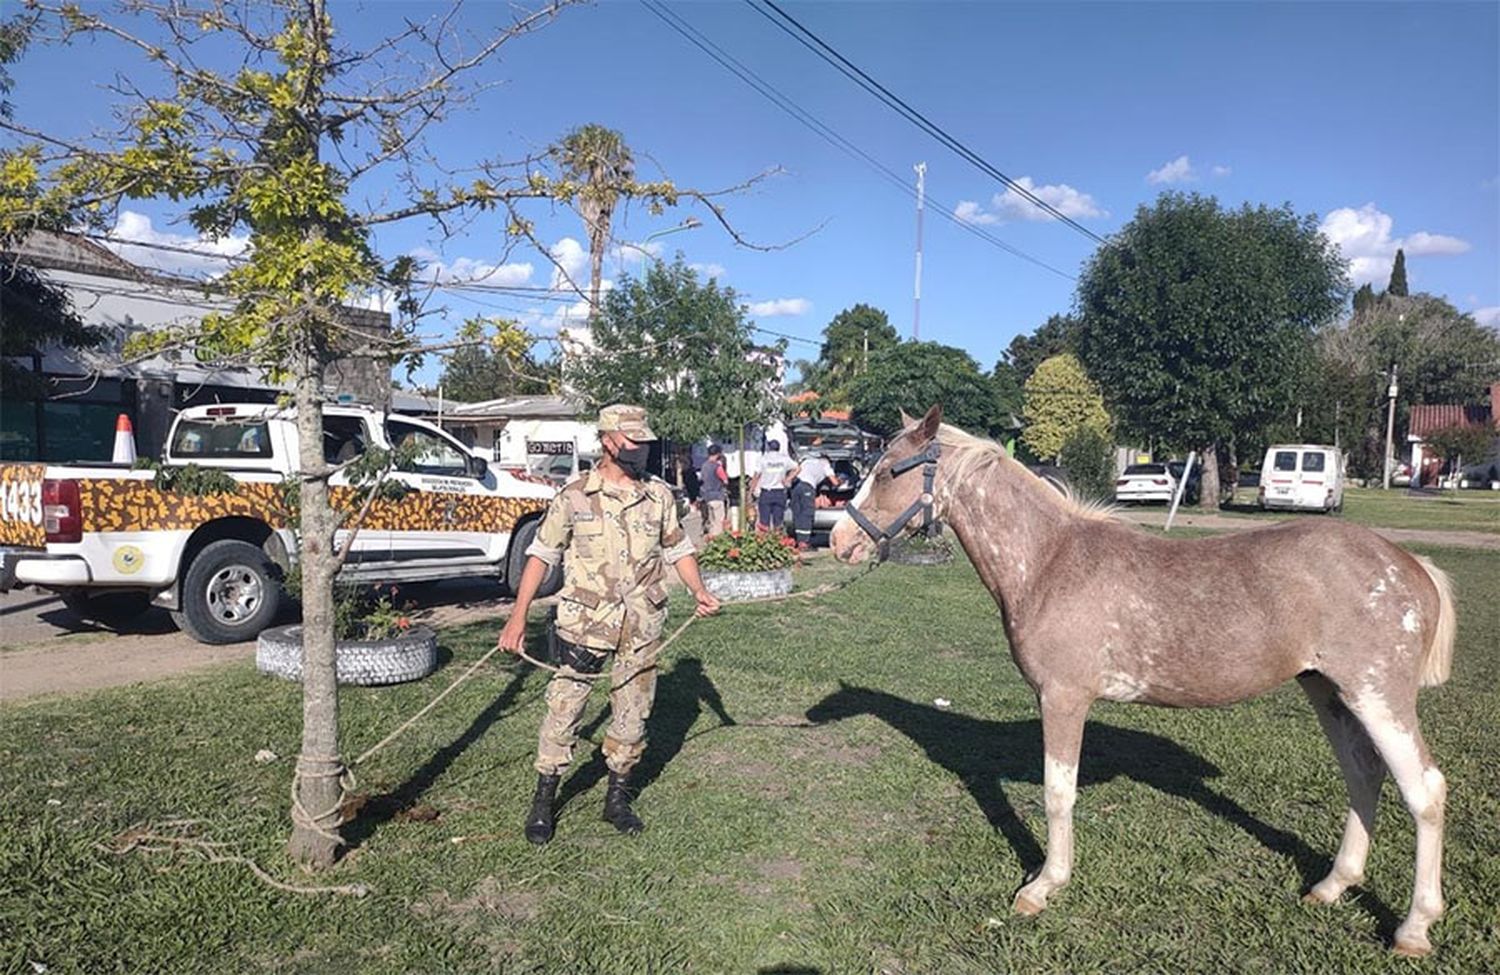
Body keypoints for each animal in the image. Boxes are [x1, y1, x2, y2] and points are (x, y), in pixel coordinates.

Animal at [828, 405, 1458, 954]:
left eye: (888, 471)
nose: (838, 541)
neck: (1050, 562)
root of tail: (1410, 565)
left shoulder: (1063, 698)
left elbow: (1057, 794)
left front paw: (1043, 887)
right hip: (1329, 692)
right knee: (1363, 776)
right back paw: (1332, 886)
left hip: (1377, 696)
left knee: (1424, 791)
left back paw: (1414, 928)